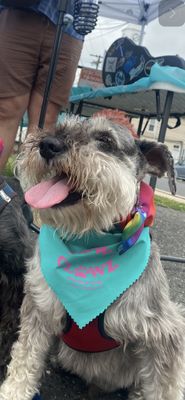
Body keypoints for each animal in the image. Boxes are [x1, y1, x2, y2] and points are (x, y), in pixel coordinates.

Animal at [0, 113, 184, 400]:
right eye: (62, 127)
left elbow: (164, 389)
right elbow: (25, 357)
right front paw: (13, 391)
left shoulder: (164, 333)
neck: (87, 239)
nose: (48, 145)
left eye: (105, 140)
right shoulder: (39, 307)